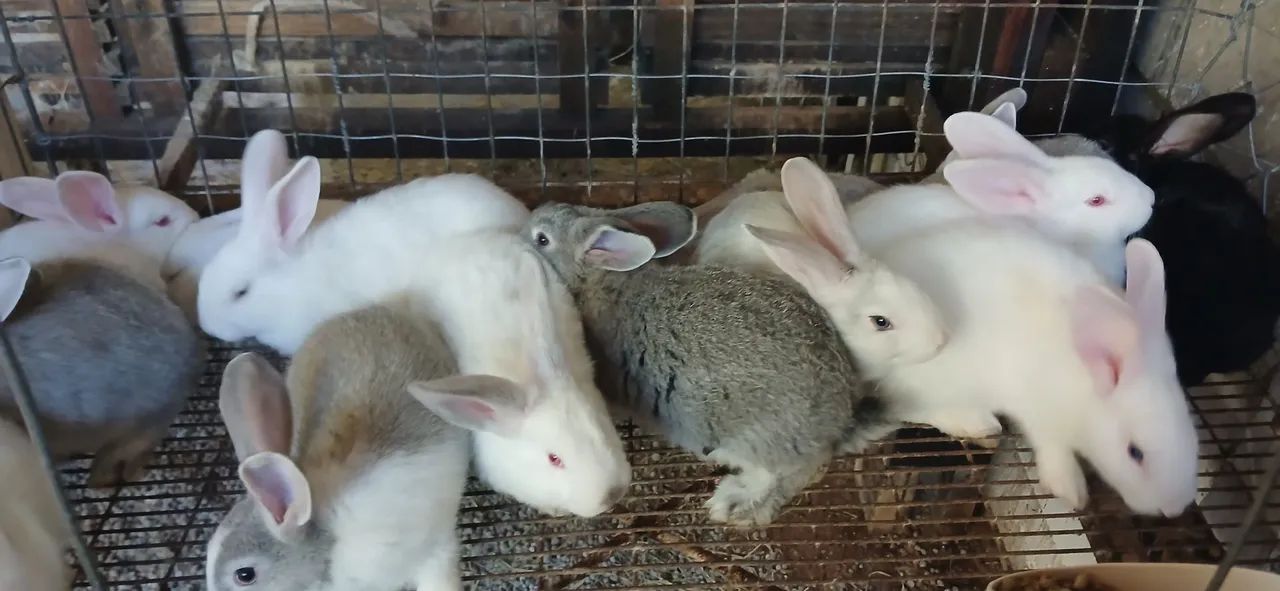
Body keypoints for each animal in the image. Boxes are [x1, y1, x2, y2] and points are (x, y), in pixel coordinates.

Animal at [523, 201, 901, 526]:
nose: (530, 218)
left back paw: (738, 503)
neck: (600, 279)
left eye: (542, 239)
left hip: (750, 439)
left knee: (797, 471)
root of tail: (840, 421)